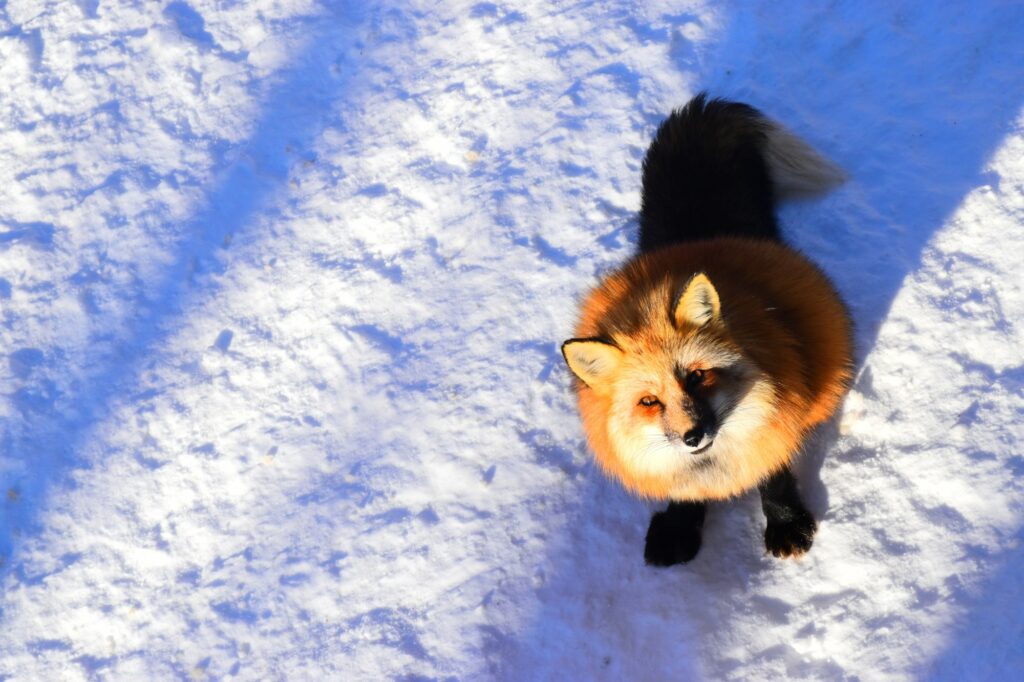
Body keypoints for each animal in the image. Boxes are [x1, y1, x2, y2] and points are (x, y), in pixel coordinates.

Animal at [561, 94, 853, 565]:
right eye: (648, 401)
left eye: (697, 375)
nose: (693, 436)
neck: (714, 460)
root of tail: (698, 237)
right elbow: (683, 490)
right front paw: (680, 526)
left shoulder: (780, 412)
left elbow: (773, 474)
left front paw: (787, 522)